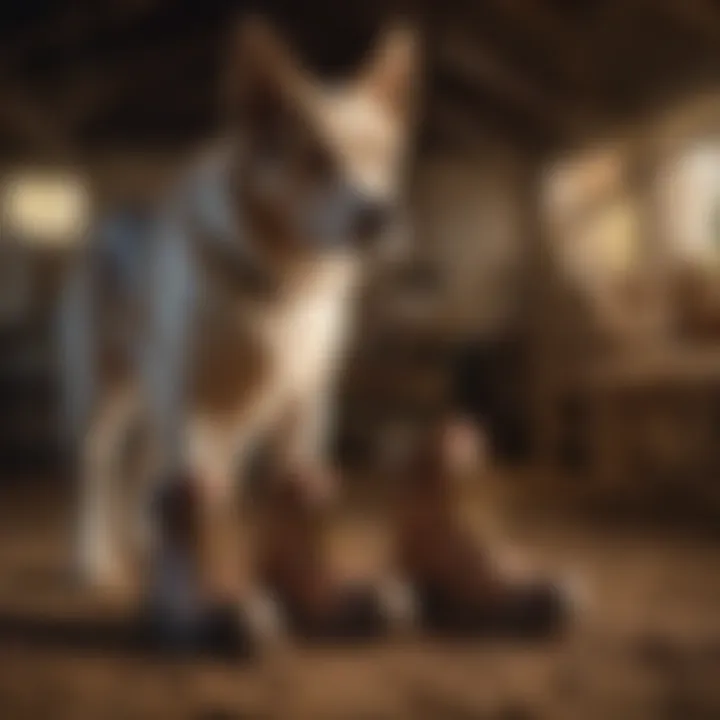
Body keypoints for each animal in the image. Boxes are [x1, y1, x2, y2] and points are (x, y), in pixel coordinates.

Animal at [60, 18, 422, 648]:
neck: (281, 286)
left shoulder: (303, 403)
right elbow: (192, 494)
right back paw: (94, 559)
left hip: (199, 412)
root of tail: (113, 218)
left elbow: (290, 488)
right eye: (315, 159)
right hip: (108, 395)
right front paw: (193, 592)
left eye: (380, 156)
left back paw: (146, 538)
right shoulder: (189, 397)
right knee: (101, 466)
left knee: (155, 471)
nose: (380, 216)